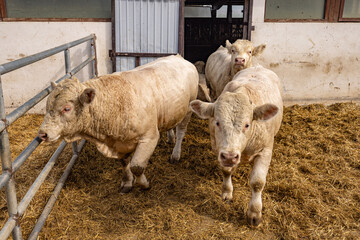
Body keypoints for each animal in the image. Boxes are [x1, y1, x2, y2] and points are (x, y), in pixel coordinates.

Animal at [38, 54, 200, 193]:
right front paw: (127, 182)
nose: (42, 134)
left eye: (67, 108)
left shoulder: (150, 137)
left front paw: (144, 184)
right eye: (47, 106)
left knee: (181, 132)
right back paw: (170, 137)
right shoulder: (119, 143)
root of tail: (179, 57)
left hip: (189, 109)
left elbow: (136, 166)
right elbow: (124, 163)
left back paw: (175, 154)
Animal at [190, 64, 282, 226]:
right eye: (217, 122)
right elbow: (226, 171)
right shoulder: (219, 149)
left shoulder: (265, 151)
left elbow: (257, 182)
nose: (230, 156)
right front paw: (227, 193)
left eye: (247, 124)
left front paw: (254, 213)